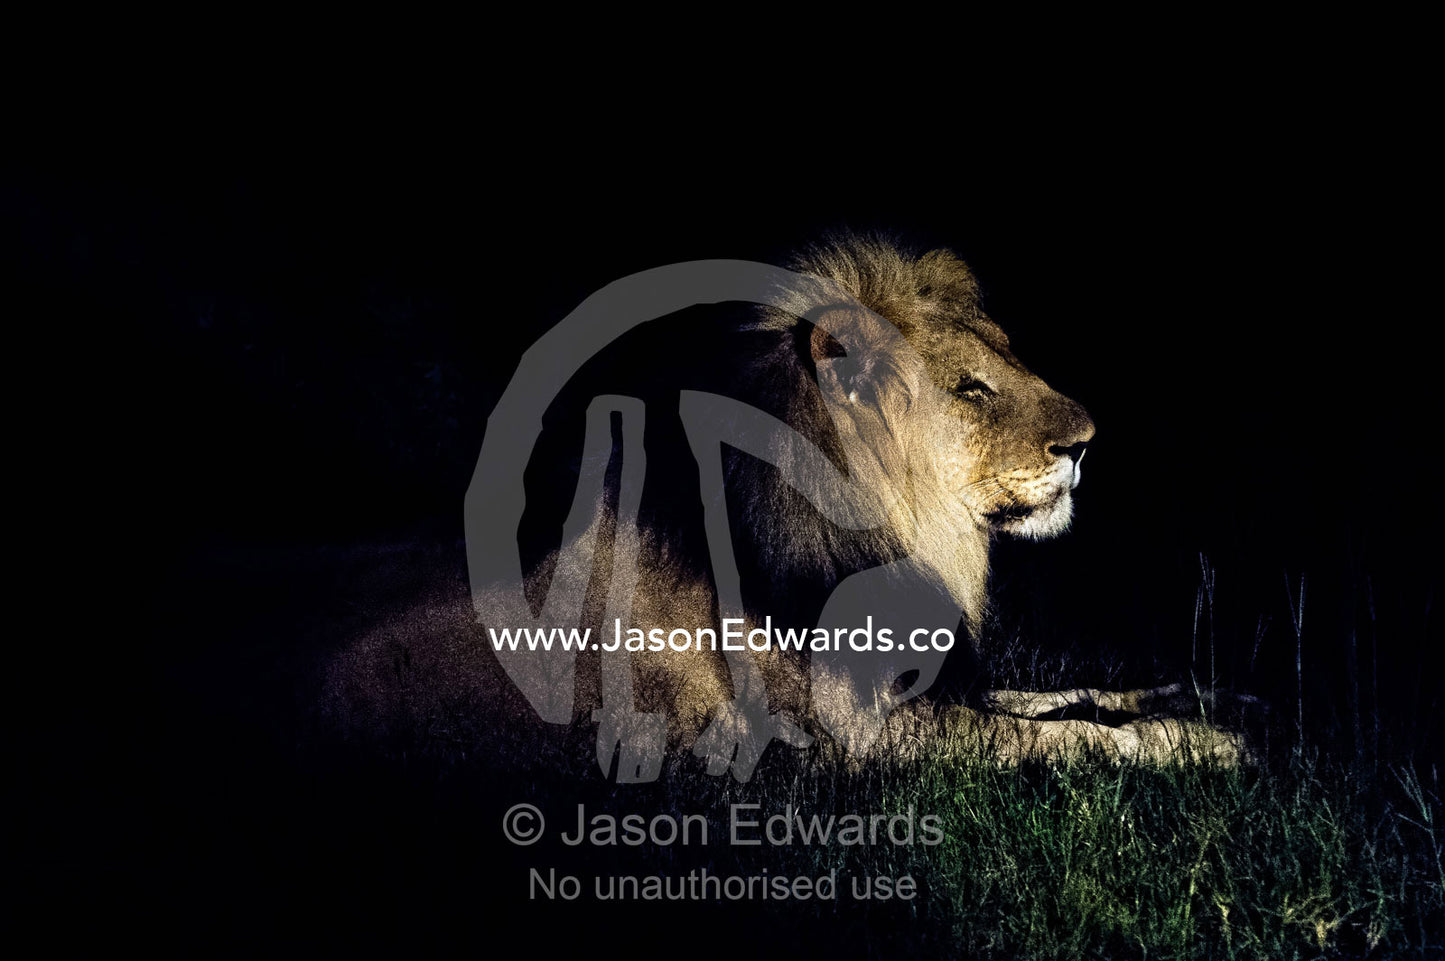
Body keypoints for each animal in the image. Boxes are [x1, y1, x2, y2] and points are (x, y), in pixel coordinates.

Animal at [324, 233, 1244, 780]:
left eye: (1007, 358)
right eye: (970, 390)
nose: (1086, 443)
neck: (902, 537)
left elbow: (1051, 694)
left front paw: (1199, 693)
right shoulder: (855, 741)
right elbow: (1058, 736)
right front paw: (1204, 743)